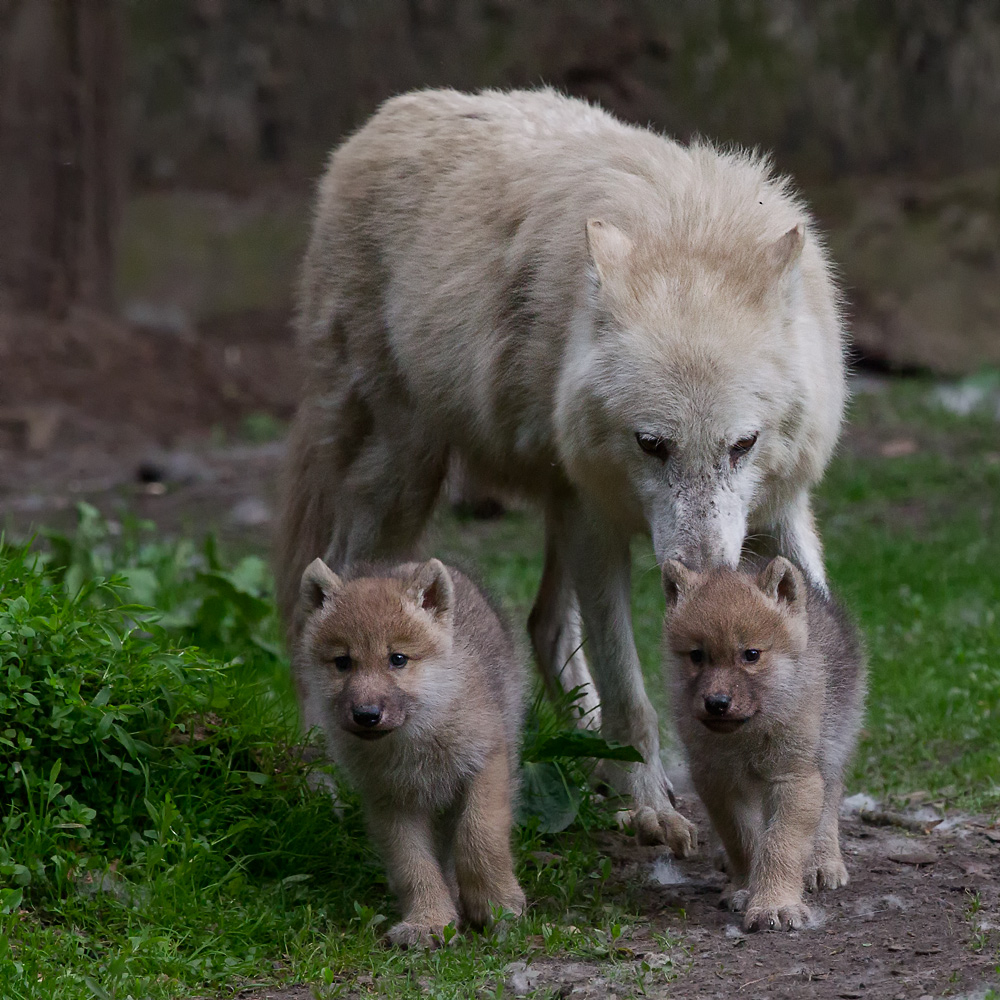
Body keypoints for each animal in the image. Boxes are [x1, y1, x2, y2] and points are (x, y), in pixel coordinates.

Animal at [274, 86, 844, 856]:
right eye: (652, 445)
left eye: (742, 445)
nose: (701, 574)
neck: (688, 229)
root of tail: (381, 119)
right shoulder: (596, 520)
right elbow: (630, 691)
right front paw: (648, 808)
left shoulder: (778, 509)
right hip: (403, 478)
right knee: (323, 589)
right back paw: (324, 771)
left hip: (541, 500)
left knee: (543, 622)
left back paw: (593, 760)